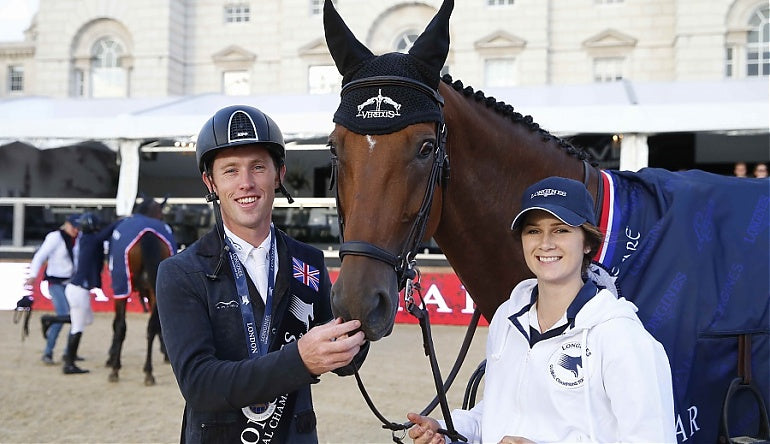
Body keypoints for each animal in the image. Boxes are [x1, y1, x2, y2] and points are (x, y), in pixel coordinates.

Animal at [106, 194, 176, 386]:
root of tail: (148, 234)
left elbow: (116, 324)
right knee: (150, 327)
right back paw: (148, 372)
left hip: (122, 286)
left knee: (121, 325)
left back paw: (117, 369)